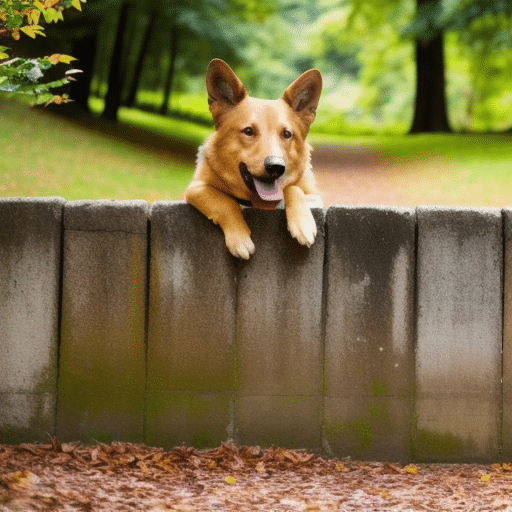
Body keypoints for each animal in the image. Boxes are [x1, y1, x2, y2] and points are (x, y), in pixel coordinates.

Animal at [186, 59, 322, 260]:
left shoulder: (313, 195)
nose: (276, 166)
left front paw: (302, 223)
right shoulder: (195, 188)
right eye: (249, 131)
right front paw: (239, 238)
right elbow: (225, 202)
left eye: (287, 134)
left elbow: (293, 189)